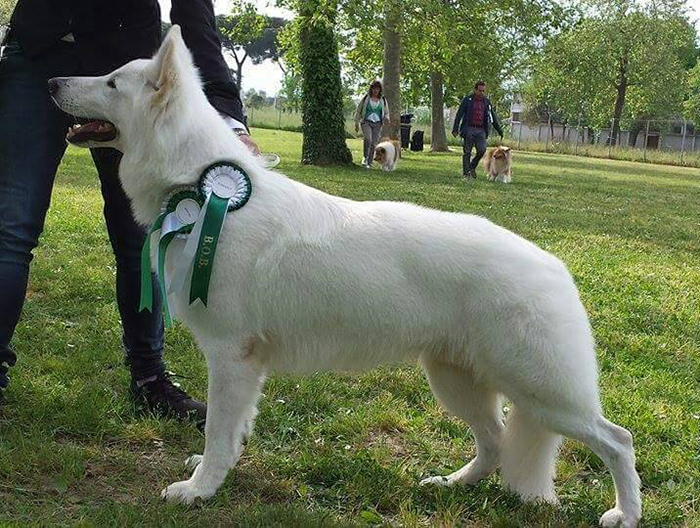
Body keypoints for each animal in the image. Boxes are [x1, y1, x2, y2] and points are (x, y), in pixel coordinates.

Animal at [49, 27, 640, 528]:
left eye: (111, 82)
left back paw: (624, 514)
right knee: (495, 442)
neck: (199, 185)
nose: (52, 81)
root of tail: (554, 267)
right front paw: (211, 475)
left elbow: (219, 430)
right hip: (457, 381)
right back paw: (452, 484)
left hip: (542, 393)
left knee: (617, 440)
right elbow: (230, 432)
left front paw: (200, 489)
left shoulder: (231, 356)